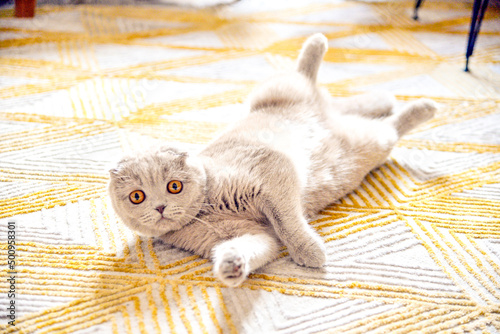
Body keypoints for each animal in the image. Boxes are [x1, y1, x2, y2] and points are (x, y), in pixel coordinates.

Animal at [107, 34, 436, 288]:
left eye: (174, 186)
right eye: (137, 196)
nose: (160, 207)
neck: (209, 207)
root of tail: (320, 111)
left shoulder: (273, 173)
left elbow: (287, 222)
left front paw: (309, 253)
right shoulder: (247, 234)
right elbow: (256, 245)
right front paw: (230, 266)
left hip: (308, 107)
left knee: (311, 77)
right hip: (357, 135)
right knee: (349, 105)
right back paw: (384, 99)